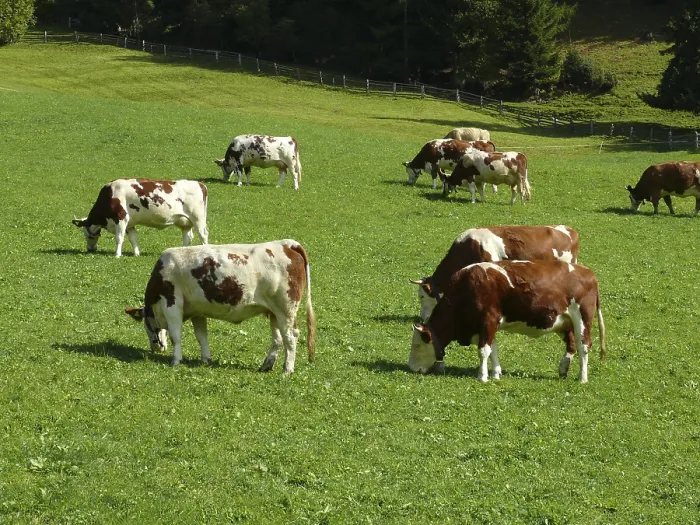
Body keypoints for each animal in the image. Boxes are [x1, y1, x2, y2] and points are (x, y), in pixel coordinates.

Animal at [72, 179, 209, 257]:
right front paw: (136, 253)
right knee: (187, 237)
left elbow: (119, 238)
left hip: (198, 218)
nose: (90, 249)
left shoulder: (121, 219)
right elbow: (133, 239)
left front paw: (117, 255)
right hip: (185, 222)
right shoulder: (130, 224)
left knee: (203, 235)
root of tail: (200, 184)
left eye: (88, 236)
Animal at [124, 240, 316, 373]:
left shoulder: (172, 304)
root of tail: (288, 244)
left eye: (145, 326)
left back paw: (287, 369)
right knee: (278, 340)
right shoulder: (197, 311)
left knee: (291, 337)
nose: (155, 348)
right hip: (274, 312)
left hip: (286, 310)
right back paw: (266, 366)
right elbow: (201, 336)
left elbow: (175, 336)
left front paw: (175, 361)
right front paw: (205, 359)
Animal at [409, 260, 606, 383]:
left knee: (583, 345)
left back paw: (582, 378)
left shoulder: (488, 319)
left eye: (417, 345)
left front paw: (482, 376)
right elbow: (492, 349)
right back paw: (563, 368)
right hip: (564, 321)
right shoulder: (486, 325)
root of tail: (588, 272)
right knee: (571, 343)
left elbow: (483, 351)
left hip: (582, 317)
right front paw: (496, 373)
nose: (411, 367)